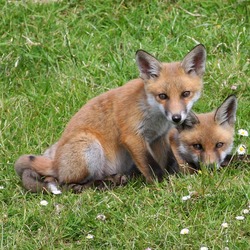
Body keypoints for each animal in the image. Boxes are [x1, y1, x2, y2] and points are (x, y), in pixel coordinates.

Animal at [14, 44, 207, 193]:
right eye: (163, 96)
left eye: (185, 94)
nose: (176, 118)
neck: (153, 114)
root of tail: (55, 163)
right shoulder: (132, 136)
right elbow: (151, 166)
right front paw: (164, 185)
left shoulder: (159, 137)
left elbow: (169, 161)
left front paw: (177, 176)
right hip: (89, 147)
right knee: (63, 182)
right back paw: (99, 185)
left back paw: (115, 179)